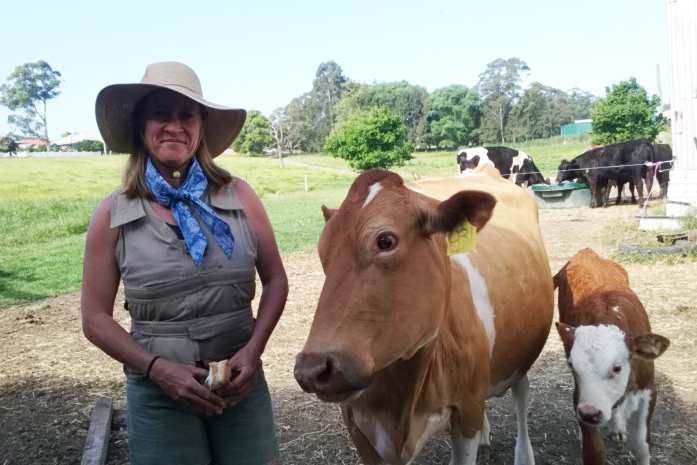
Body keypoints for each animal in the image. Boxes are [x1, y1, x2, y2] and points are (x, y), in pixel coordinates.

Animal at [290, 166, 552, 464]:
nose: (313, 369)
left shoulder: (466, 412)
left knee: (521, 394)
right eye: (322, 249)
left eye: (385, 241)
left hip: (522, 354)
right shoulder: (356, 424)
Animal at [556, 248, 668, 462]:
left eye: (617, 368)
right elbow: (594, 451)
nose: (590, 414)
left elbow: (641, 445)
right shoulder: (580, 397)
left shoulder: (649, 388)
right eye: (572, 366)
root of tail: (587, 252)